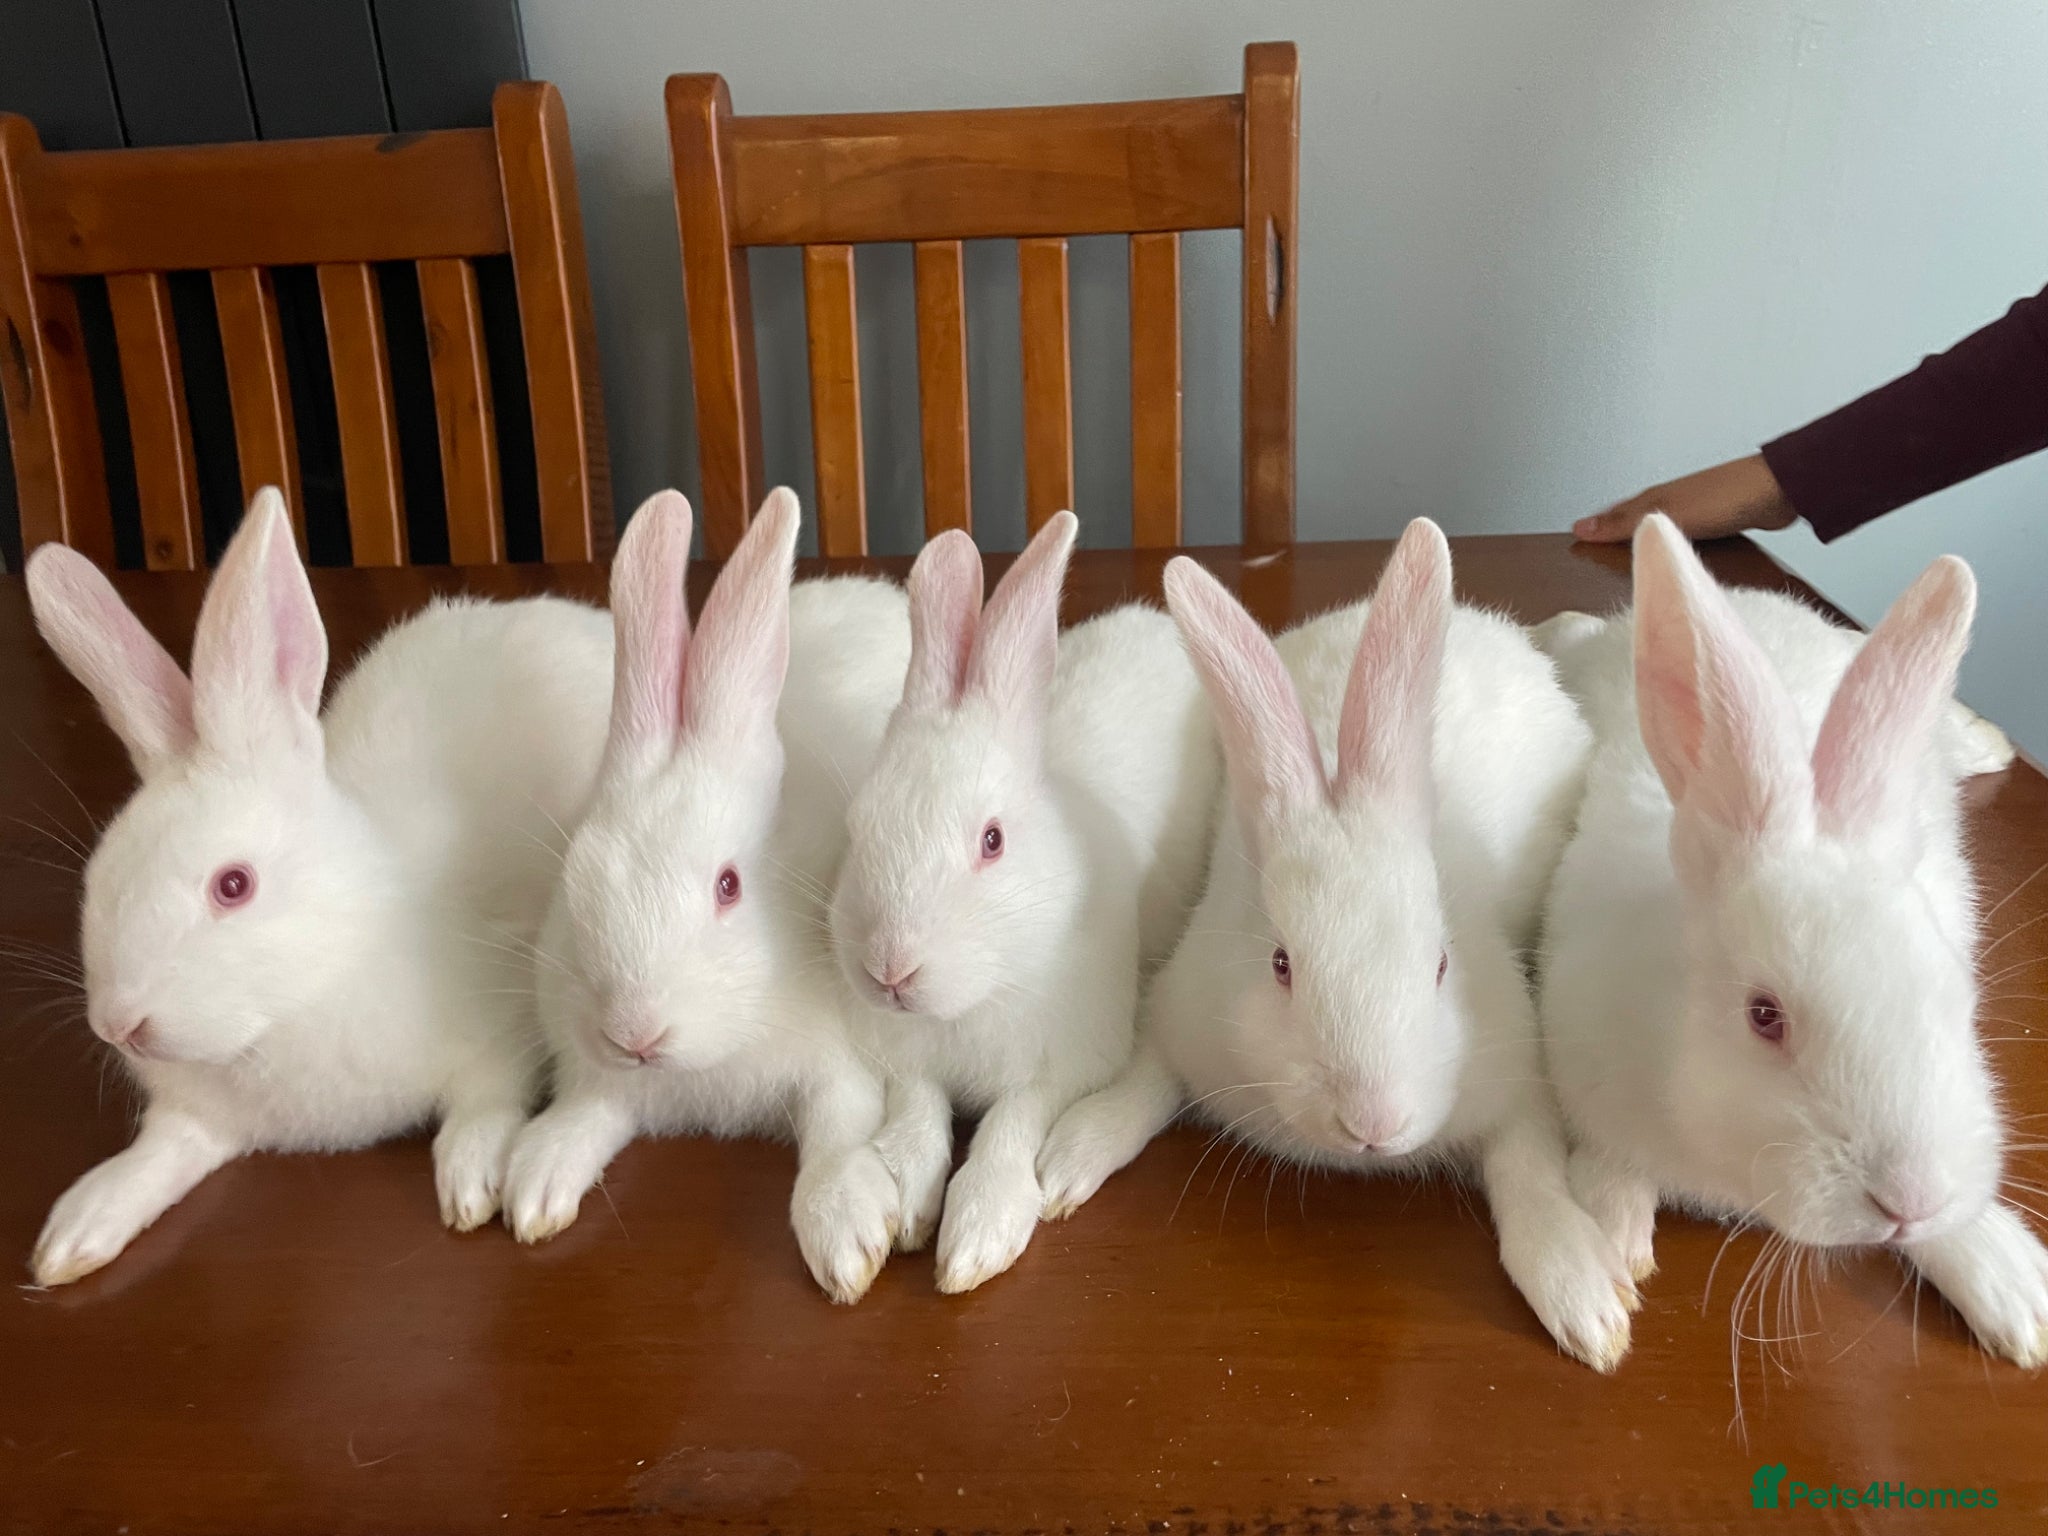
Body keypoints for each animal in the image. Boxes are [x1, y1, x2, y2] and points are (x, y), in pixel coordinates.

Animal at [24, 488, 613, 1287]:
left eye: (233, 885)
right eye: (99, 873)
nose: (119, 1025)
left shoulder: (505, 1024)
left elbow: (488, 1102)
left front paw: (472, 1181)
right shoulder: (196, 1118)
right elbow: (159, 1153)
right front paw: (75, 1232)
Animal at [502, 488, 914, 1305]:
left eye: (729, 886)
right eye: (577, 872)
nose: (634, 1033)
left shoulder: (840, 1064)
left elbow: (839, 1130)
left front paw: (846, 1237)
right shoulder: (605, 1084)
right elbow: (585, 1116)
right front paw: (534, 1185)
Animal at [827, 511, 1221, 1293]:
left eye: (992, 840)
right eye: (857, 826)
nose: (890, 970)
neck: (976, 997)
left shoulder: (1063, 1060)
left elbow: (1013, 1123)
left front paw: (977, 1239)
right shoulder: (910, 1062)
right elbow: (918, 1115)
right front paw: (909, 1203)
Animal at [1038, 518, 1637, 1371]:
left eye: (1442, 963)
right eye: (1281, 965)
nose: (1373, 1123)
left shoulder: (1515, 1076)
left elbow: (1530, 1174)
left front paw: (1585, 1301)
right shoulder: (1182, 1016)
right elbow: (1141, 1086)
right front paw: (1067, 1161)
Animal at [1539, 513, 2048, 1368]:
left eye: (1957, 998)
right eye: (1765, 1017)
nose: (1906, 1199)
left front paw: (2017, 1289)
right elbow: (1611, 1162)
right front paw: (1613, 1237)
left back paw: (1988, 739)